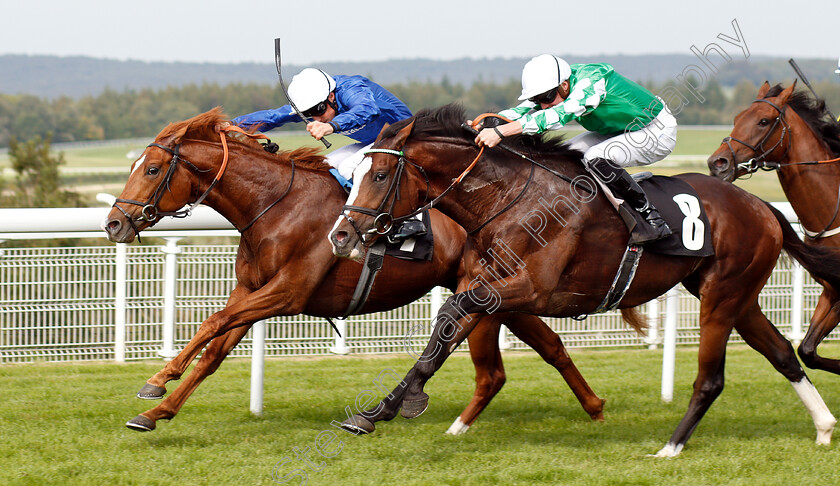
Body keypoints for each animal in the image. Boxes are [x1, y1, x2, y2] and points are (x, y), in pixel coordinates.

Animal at [103, 109, 612, 432]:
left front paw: (156, 383)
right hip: (501, 292)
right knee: (550, 345)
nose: (113, 223)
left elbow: (212, 323)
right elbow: (213, 349)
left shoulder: (287, 292)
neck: (274, 205)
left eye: (151, 169)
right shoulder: (251, 291)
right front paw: (156, 410)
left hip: (488, 291)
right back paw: (595, 409)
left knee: (507, 360)